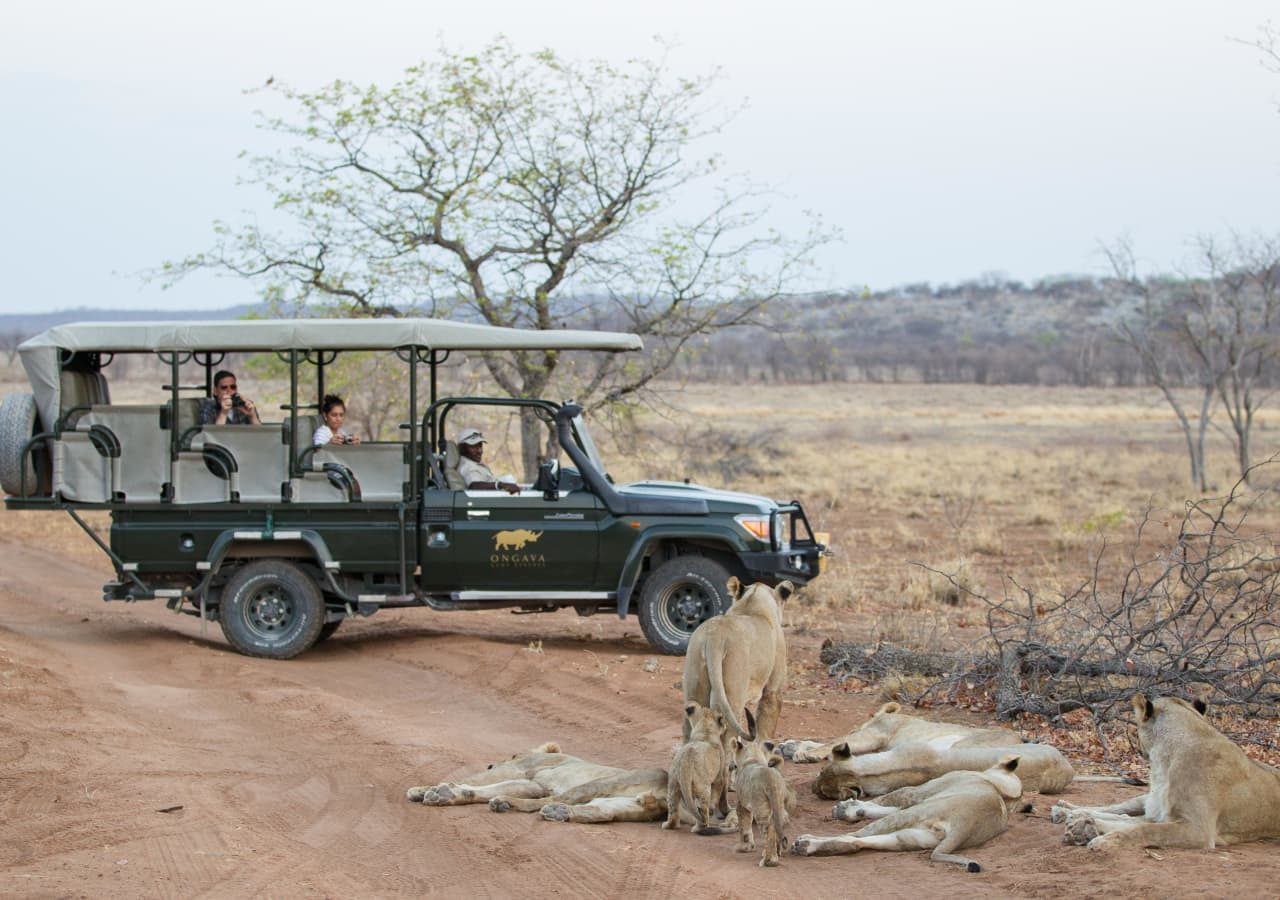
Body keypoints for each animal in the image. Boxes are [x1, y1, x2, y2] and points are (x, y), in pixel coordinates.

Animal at [660, 706, 732, 839]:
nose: (726, 725)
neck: (706, 731)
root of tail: (685, 761)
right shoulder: (720, 775)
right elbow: (717, 791)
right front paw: (713, 808)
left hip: (673, 783)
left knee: (673, 806)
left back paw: (668, 825)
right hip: (703, 787)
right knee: (702, 811)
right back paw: (700, 827)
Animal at [732, 737, 798, 865]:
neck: (753, 759)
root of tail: (771, 779)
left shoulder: (742, 803)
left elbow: (744, 824)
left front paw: (743, 847)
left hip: (760, 806)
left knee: (769, 829)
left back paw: (769, 861)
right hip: (778, 803)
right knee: (777, 825)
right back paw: (775, 853)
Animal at [793, 752, 1024, 870]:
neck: (1000, 788)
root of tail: (965, 826)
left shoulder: (915, 793)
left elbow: (883, 800)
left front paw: (846, 809)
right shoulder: (918, 798)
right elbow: (884, 806)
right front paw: (852, 809)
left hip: (910, 816)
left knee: (853, 835)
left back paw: (806, 841)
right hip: (906, 838)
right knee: (854, 842)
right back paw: (806, 847)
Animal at [1049, 691, 1280, 850]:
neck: (1163, 763)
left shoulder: (1198, 829)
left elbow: (1142, 830)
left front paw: (1104, 841)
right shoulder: (1168, 816)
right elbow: (1131, 822)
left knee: (1125, 817)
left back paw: (1076, 820)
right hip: (1148, 801)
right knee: (1118, 809)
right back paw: (1067, 811)